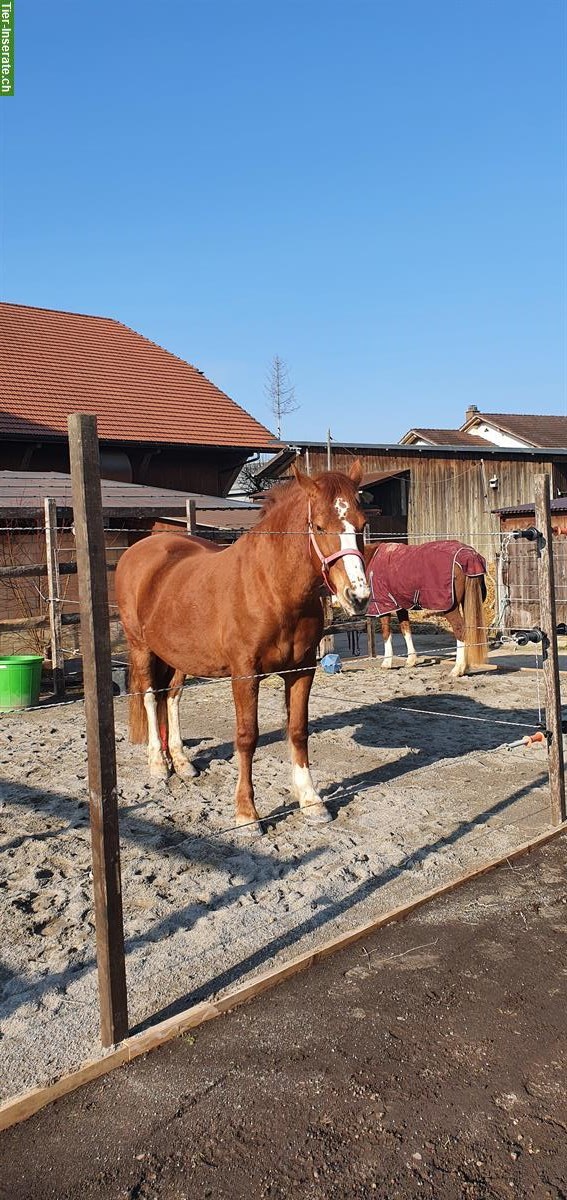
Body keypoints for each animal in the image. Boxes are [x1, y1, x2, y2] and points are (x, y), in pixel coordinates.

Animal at [362, 542, 487, 681]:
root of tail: (469, 555)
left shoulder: (383, 605)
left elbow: (386, 633)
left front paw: (386, 663)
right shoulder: (401, 605)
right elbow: (405, 629)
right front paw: (411, 661)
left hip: (450, 608)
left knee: (460, 630)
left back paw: (457, 669)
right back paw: (465, 668)